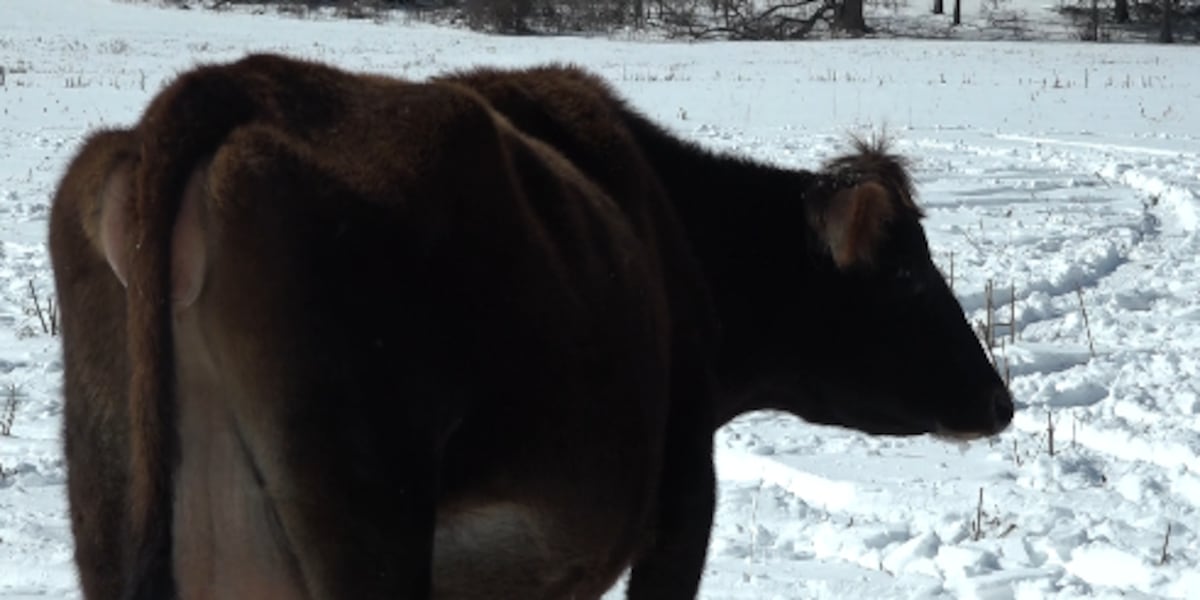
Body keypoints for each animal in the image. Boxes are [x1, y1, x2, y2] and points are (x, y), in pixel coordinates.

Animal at [49, 54, 1012, 600]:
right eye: (908, 276)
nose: (999, 400)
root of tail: (235, 84)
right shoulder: (679, 501)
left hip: (112, 504)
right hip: (366, 517)